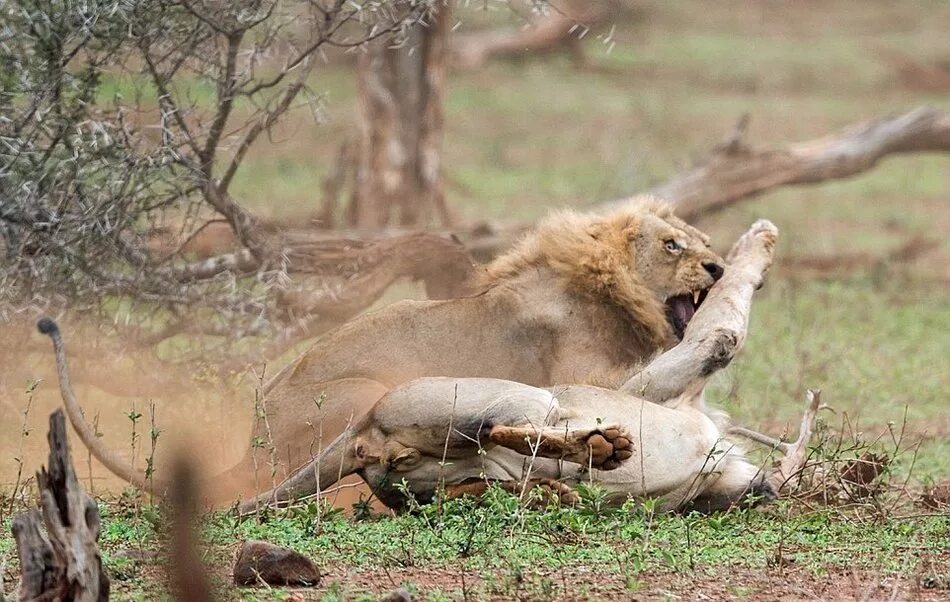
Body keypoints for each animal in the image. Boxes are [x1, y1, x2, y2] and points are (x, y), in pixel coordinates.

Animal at [41, 196, 724, 496]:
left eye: (703, 240)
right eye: (673, 246)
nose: (717, 268)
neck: (608, 290)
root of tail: (250, 444)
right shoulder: (594, 378)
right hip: (365, 391)